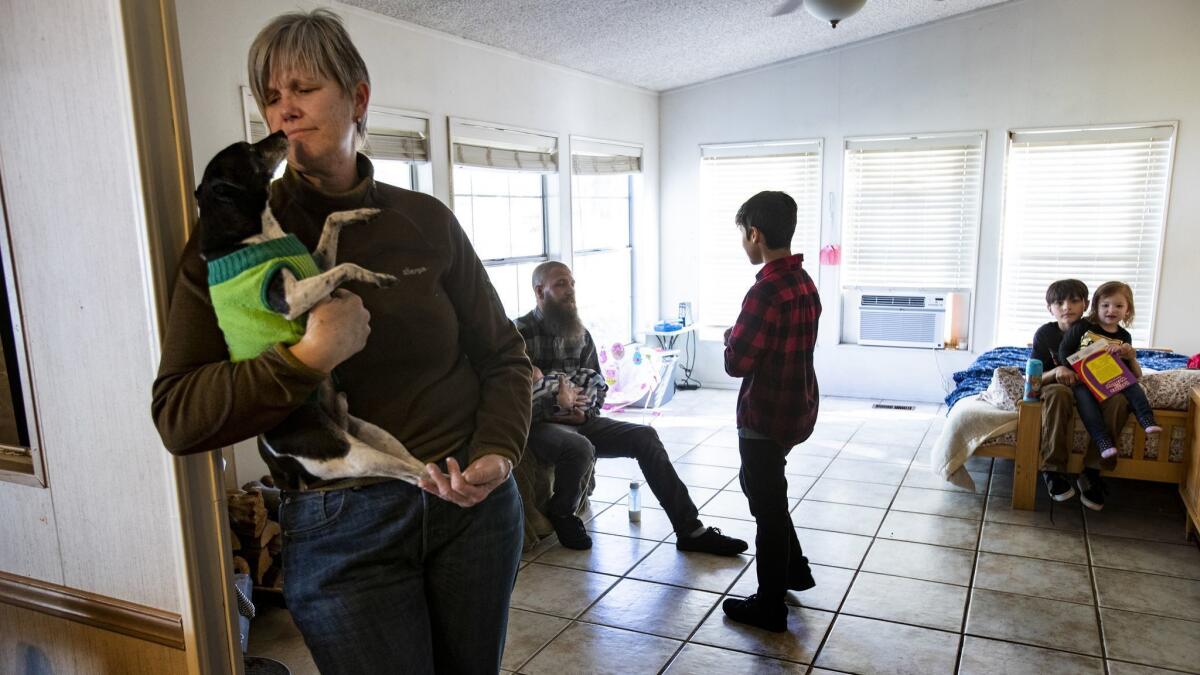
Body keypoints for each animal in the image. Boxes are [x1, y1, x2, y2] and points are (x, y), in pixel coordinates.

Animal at [201, 128, 432, 480]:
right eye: (249, 150)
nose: (282, 131)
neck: (252, 236)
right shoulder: (291, 298)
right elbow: (346, 266)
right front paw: (375, 276)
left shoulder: (316, 265)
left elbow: (332, 218)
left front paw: (358, 213)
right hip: (353, 452)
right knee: (415, 476)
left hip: (374, 434)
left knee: (420, 467)